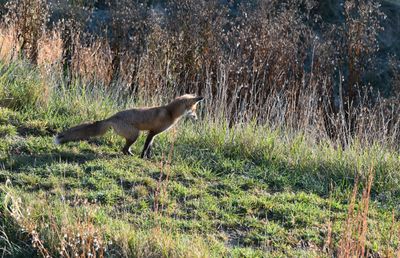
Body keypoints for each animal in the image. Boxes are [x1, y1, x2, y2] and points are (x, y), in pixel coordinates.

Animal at [54, 94, 205, 158]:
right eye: (194, 110)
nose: (197, 118)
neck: (170, 113)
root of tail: (112, 117)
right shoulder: (152, 132)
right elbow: (146, 147)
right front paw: (142, 157)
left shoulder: (152, 133)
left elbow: (149, 147)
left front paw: (149, 158)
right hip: (135, 135)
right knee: (124, 149)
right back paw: (130, 155)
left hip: (133, 135)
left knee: (124, 149)